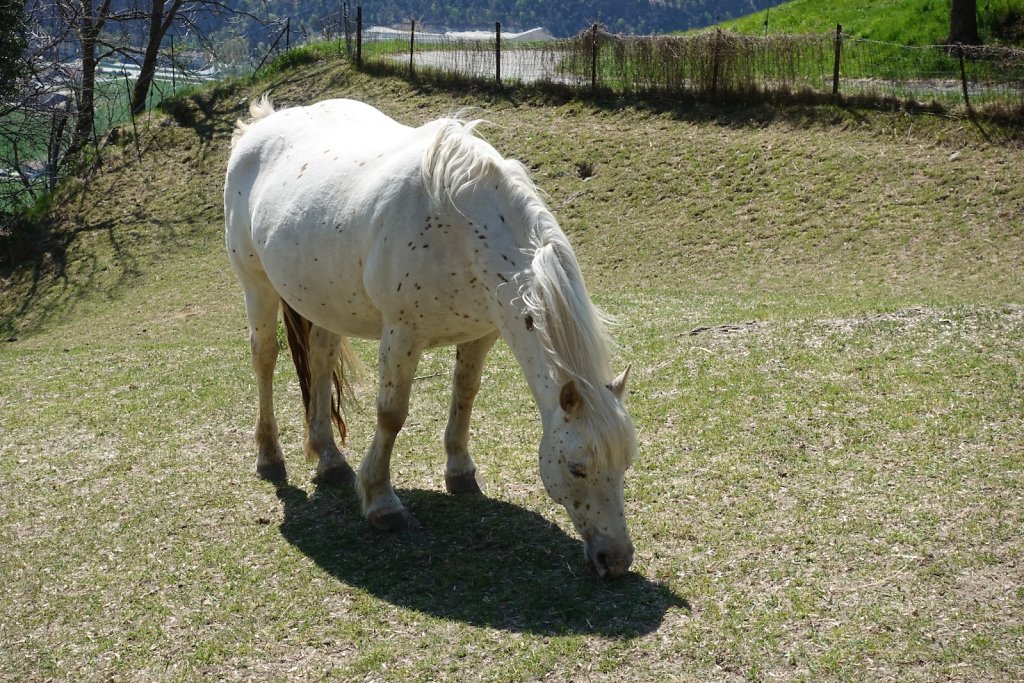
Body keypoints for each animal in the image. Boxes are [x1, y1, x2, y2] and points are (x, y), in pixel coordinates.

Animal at [228, 96, 634, 577]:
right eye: (576, 468)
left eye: (625, 463)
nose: (616, 559)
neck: (459, 226)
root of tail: (261, 124)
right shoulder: (402, 334)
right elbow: (391, 414)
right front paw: (382, 503)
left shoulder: (481, 334)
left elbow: (465, 394)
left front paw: (459, 472)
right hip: (256, 285)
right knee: (265, 359)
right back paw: (269, 456)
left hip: (324, 300)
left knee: (322, 359)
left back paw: (329, 460)